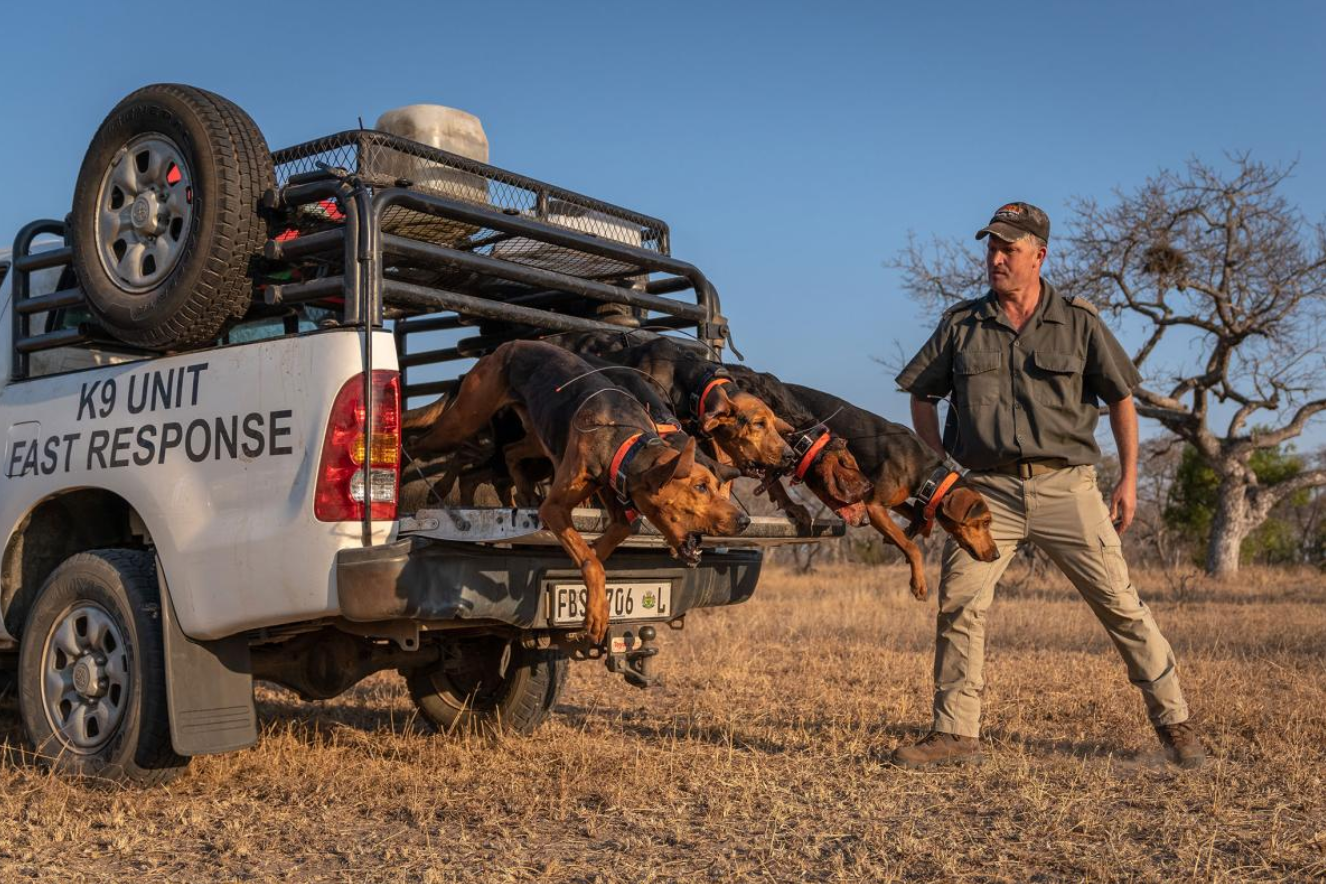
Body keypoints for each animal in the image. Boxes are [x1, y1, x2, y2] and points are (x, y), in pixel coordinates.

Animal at [726, 365, 997, 601]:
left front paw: (911, 530)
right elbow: (913, 547)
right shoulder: (874, 507)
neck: (929, 474)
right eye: (983, 522)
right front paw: (918, 584)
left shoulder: (891, 501)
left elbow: (914, 521)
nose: (995, 555)